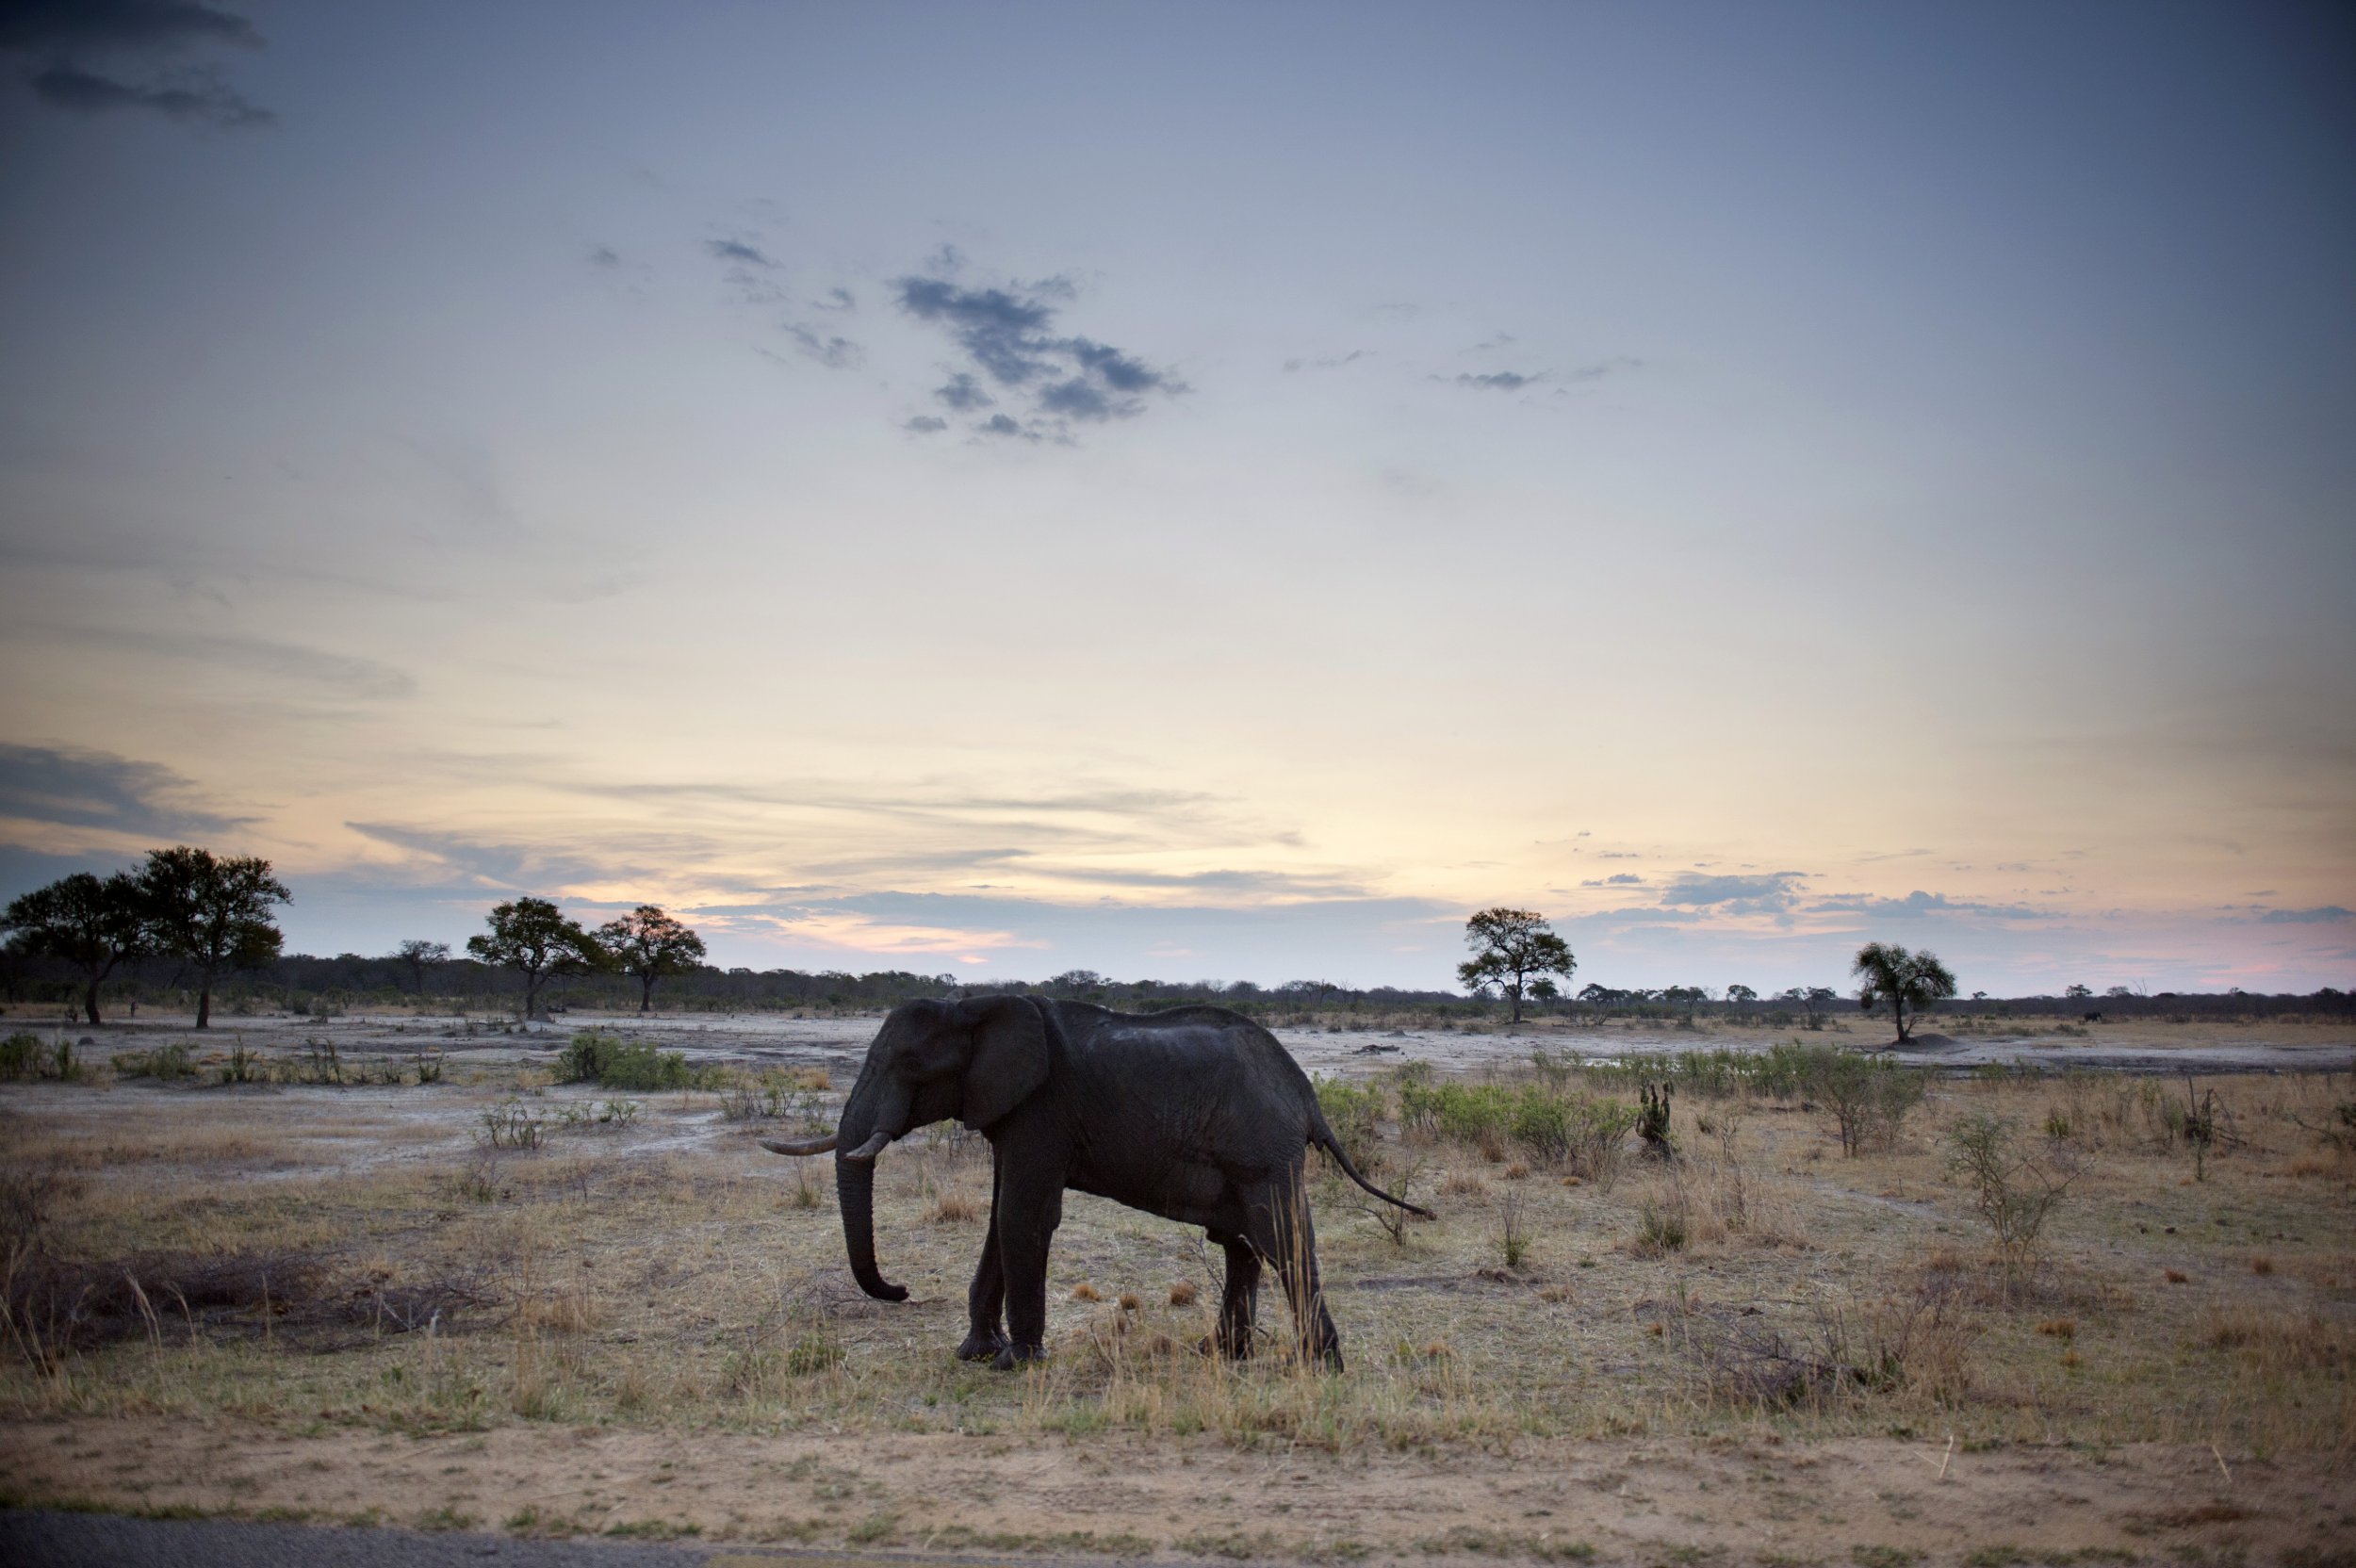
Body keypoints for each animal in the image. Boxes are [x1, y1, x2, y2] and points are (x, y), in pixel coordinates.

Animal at [773, 993, 1423, 1365]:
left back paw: (1319, 1367)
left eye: (909, 1066)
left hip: (1264, 1152)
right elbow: (1001, 1215)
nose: (903, 1289)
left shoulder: (1042, 1108)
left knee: (1282, 1241)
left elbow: (1024, 1214)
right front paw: (976, 1355)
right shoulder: (1013, 1113)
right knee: (1241, 1246)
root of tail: (1307, 1095)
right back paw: (1220, 1356)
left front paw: (1018, 1362)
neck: (974, 1007)